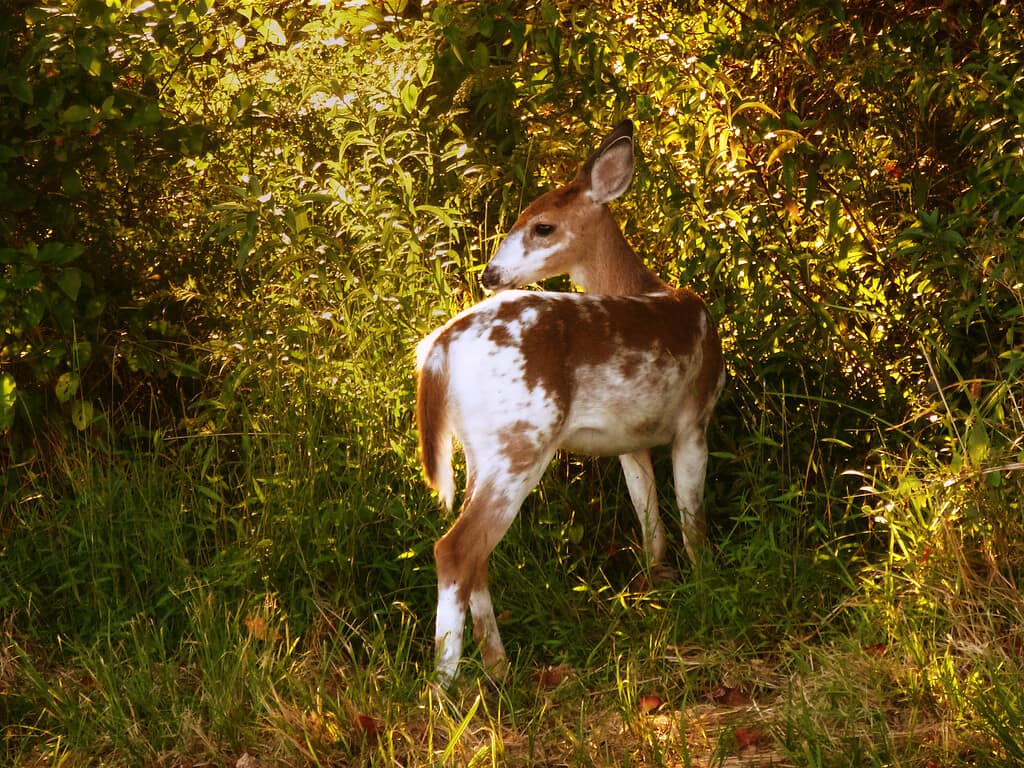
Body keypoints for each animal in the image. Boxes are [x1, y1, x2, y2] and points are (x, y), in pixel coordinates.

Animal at [413, 120, 720, 684]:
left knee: (476, 555)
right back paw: (446, 684)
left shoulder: (630, 440)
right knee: (456, 549)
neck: (651, 289)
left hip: (481, 449)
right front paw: (706, 582)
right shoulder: (695, 419)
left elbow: (649, 519)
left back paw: (500, 667)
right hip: (522, 438)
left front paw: (657, 583)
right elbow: (693, 520)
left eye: (542, 227)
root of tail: (438, 349)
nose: (489, 274)